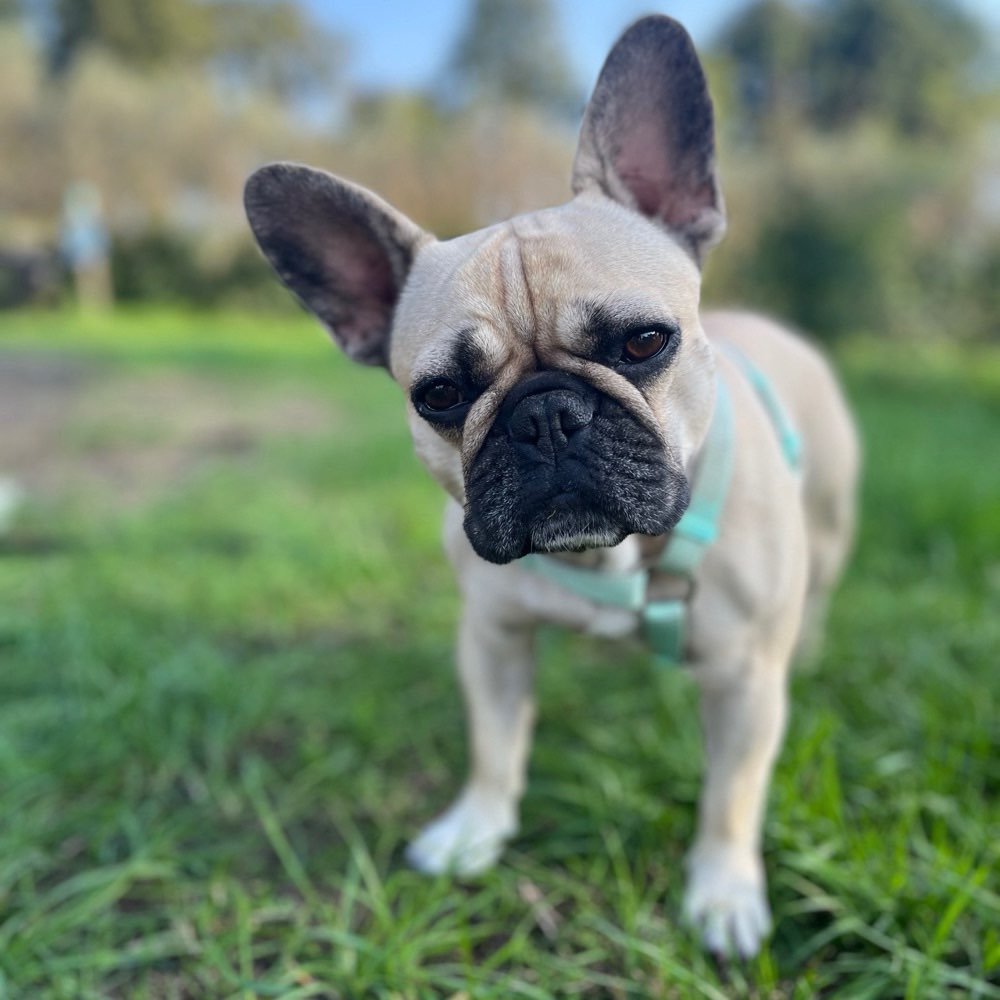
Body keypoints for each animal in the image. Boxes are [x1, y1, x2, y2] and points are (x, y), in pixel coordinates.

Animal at [244, 11, 860, 956]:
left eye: (643, 342)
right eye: (440, 395)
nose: (544, 418)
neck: (614, 561)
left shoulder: (746, 681)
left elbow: (731, 795)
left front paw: (723, 894)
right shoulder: (493, 639)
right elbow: (496, 746)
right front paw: (475, 829)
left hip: (827, 532)